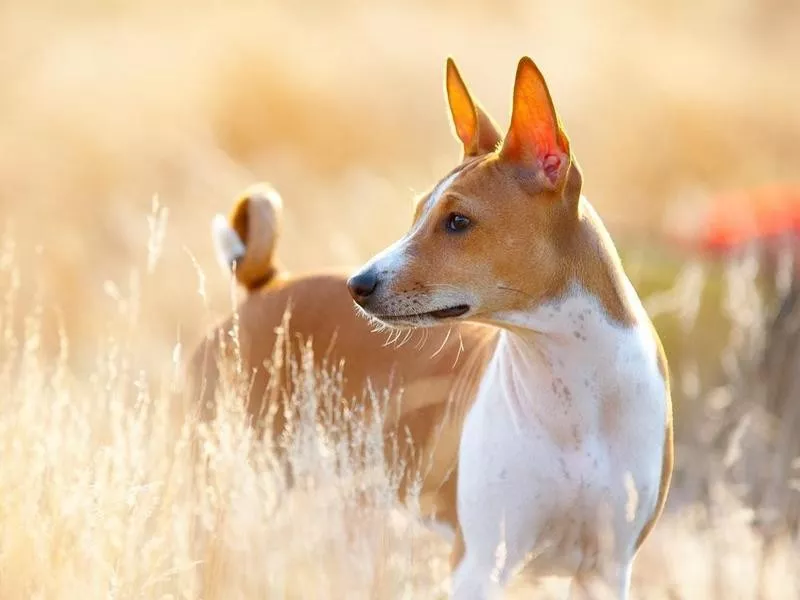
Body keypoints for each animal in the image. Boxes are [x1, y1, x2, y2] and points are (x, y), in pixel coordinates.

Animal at [346, 57, 672, 600]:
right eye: (417, 214)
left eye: (458, 221)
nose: (357, 283)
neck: (573, 398)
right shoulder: (480, 564)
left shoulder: (606, 570)